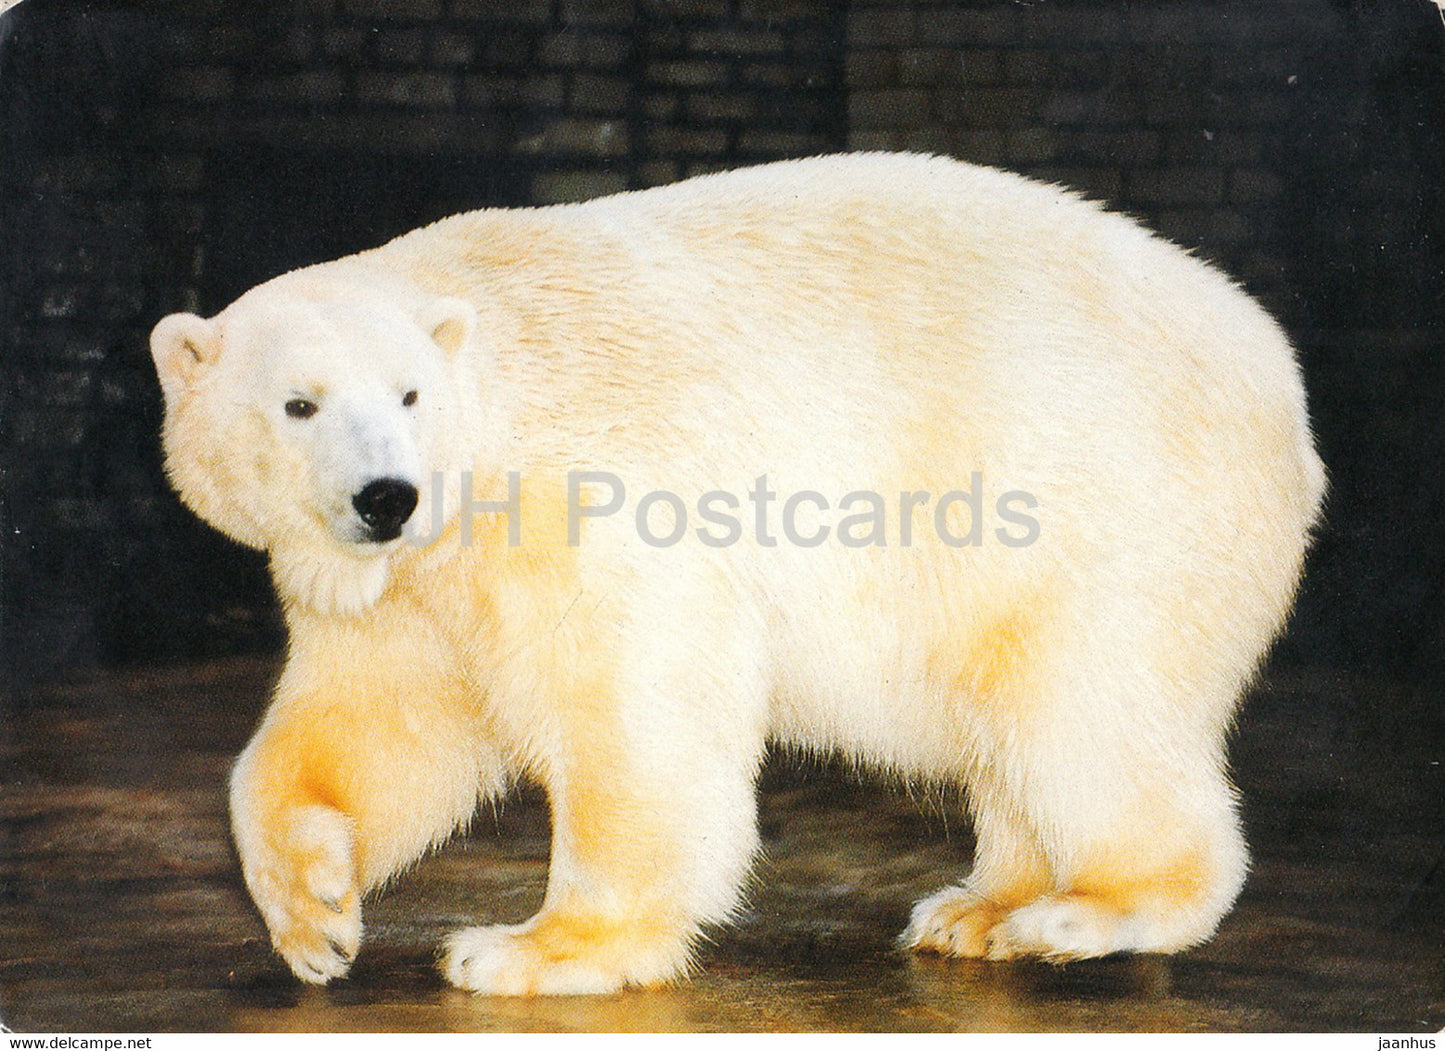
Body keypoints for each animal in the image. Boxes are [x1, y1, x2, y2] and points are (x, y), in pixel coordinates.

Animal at [149, 152, 1324, 995]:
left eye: (407, 394)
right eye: (298, 402)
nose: (386, 495)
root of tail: (1279, 382)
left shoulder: (587, 493)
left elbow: (630, 706)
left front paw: (537, 947)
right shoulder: (413, 587)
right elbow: (377, 719)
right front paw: (312, 911)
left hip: (1104, 506)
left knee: (1082, 708)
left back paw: (1083, 911)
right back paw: (976, 909)